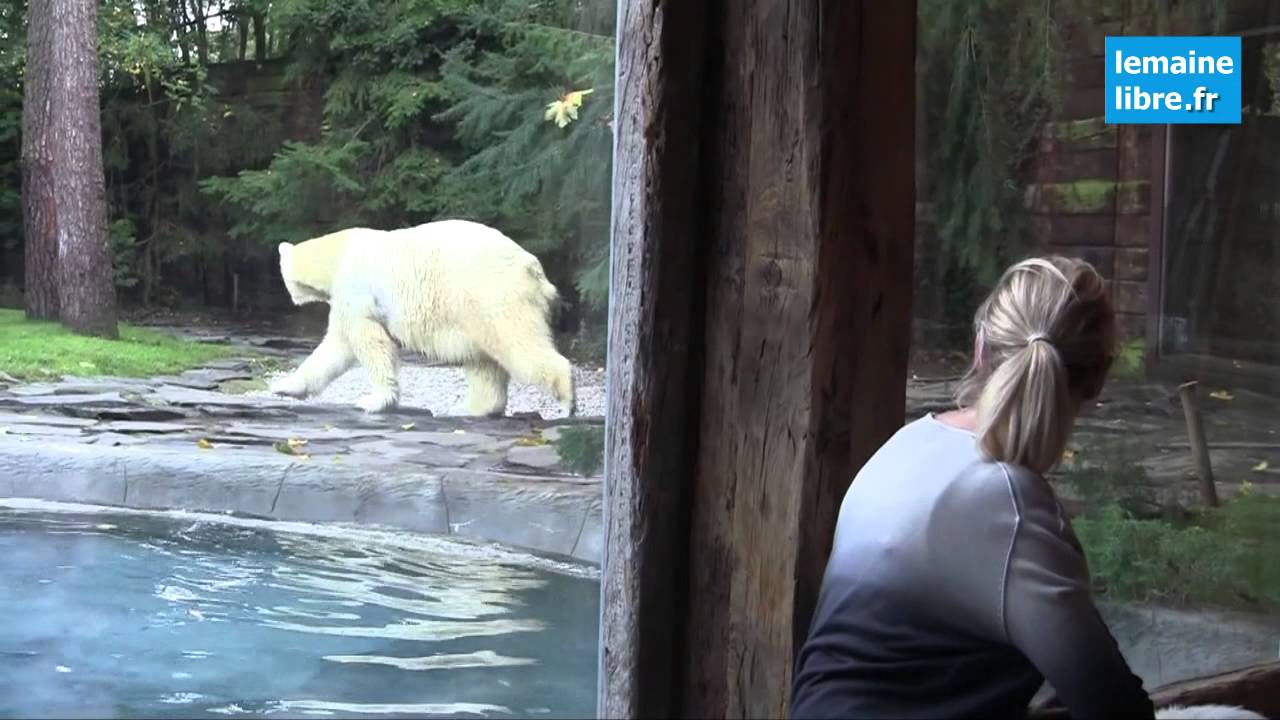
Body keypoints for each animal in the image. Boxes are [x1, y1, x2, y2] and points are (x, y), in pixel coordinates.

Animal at [272, 217, 578, 415]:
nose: (291, 298)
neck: (339, 252)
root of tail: (533, 268)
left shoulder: (355, 289)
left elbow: (370, 343)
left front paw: (373, 401)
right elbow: (334, 348)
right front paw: (284, 387)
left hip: (492, 296)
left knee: (519, 345)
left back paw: (567, 402)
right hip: (473, 312)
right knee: (483, 363)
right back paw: (470, 408)